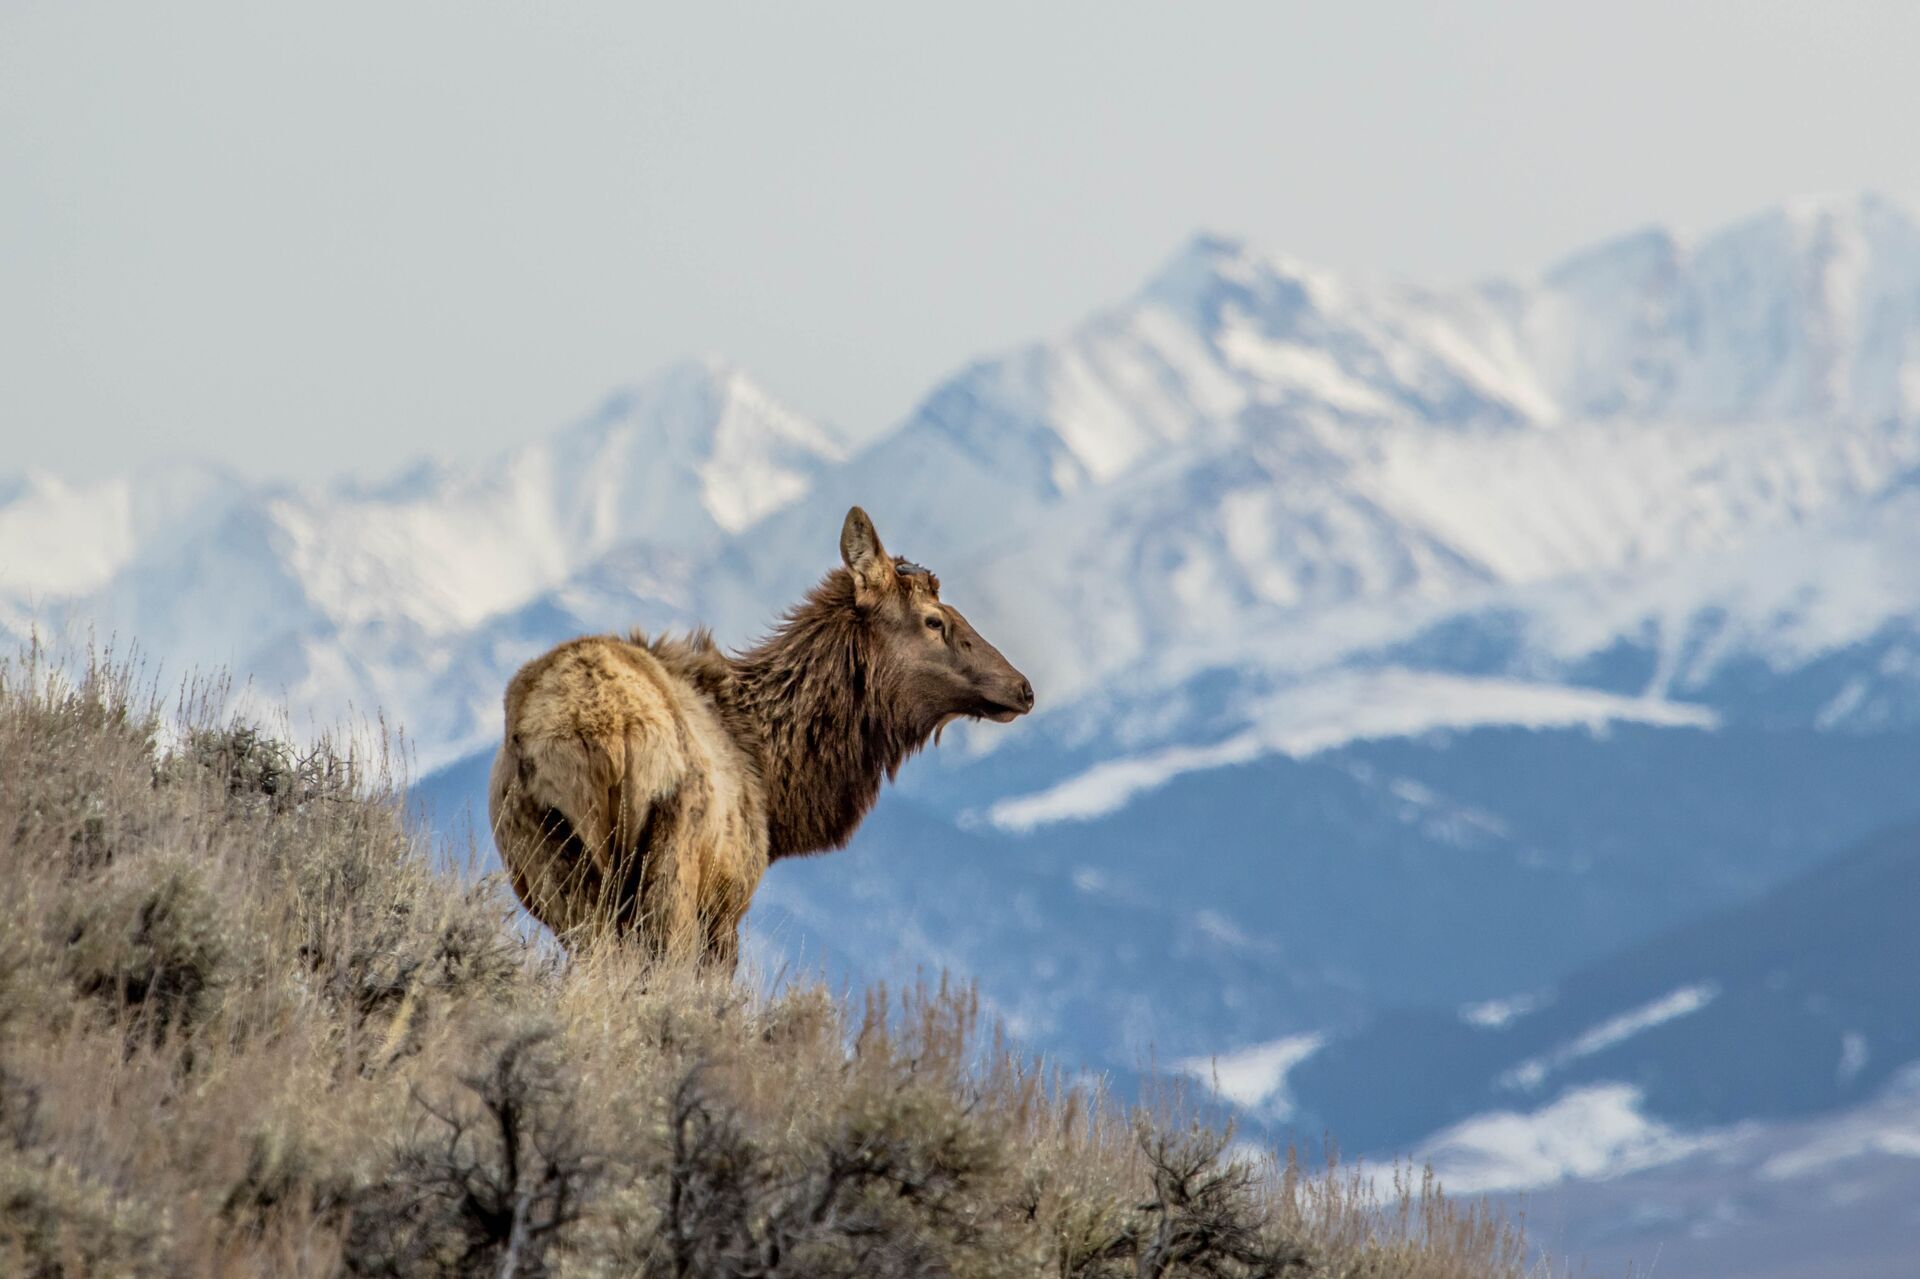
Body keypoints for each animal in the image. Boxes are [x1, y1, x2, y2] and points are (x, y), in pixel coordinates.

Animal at [491, 503, 1036, 960]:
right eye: (934, 620)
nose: (1023, 687)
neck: (776, 782)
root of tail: (599, 734)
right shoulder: (727, 902)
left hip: (555, 865)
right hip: (671, 867)